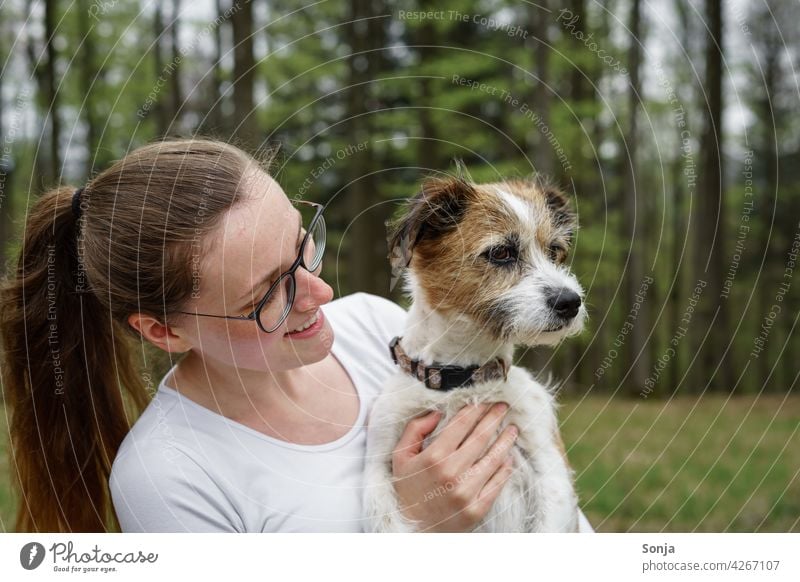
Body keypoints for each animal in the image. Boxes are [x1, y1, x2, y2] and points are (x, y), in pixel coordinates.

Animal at [366, 173, 584, 532]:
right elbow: (384, 520)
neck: (464, 378)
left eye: (554, 251)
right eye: (501, 252)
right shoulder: (379, 463)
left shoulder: (548, 461)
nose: (571, 302)